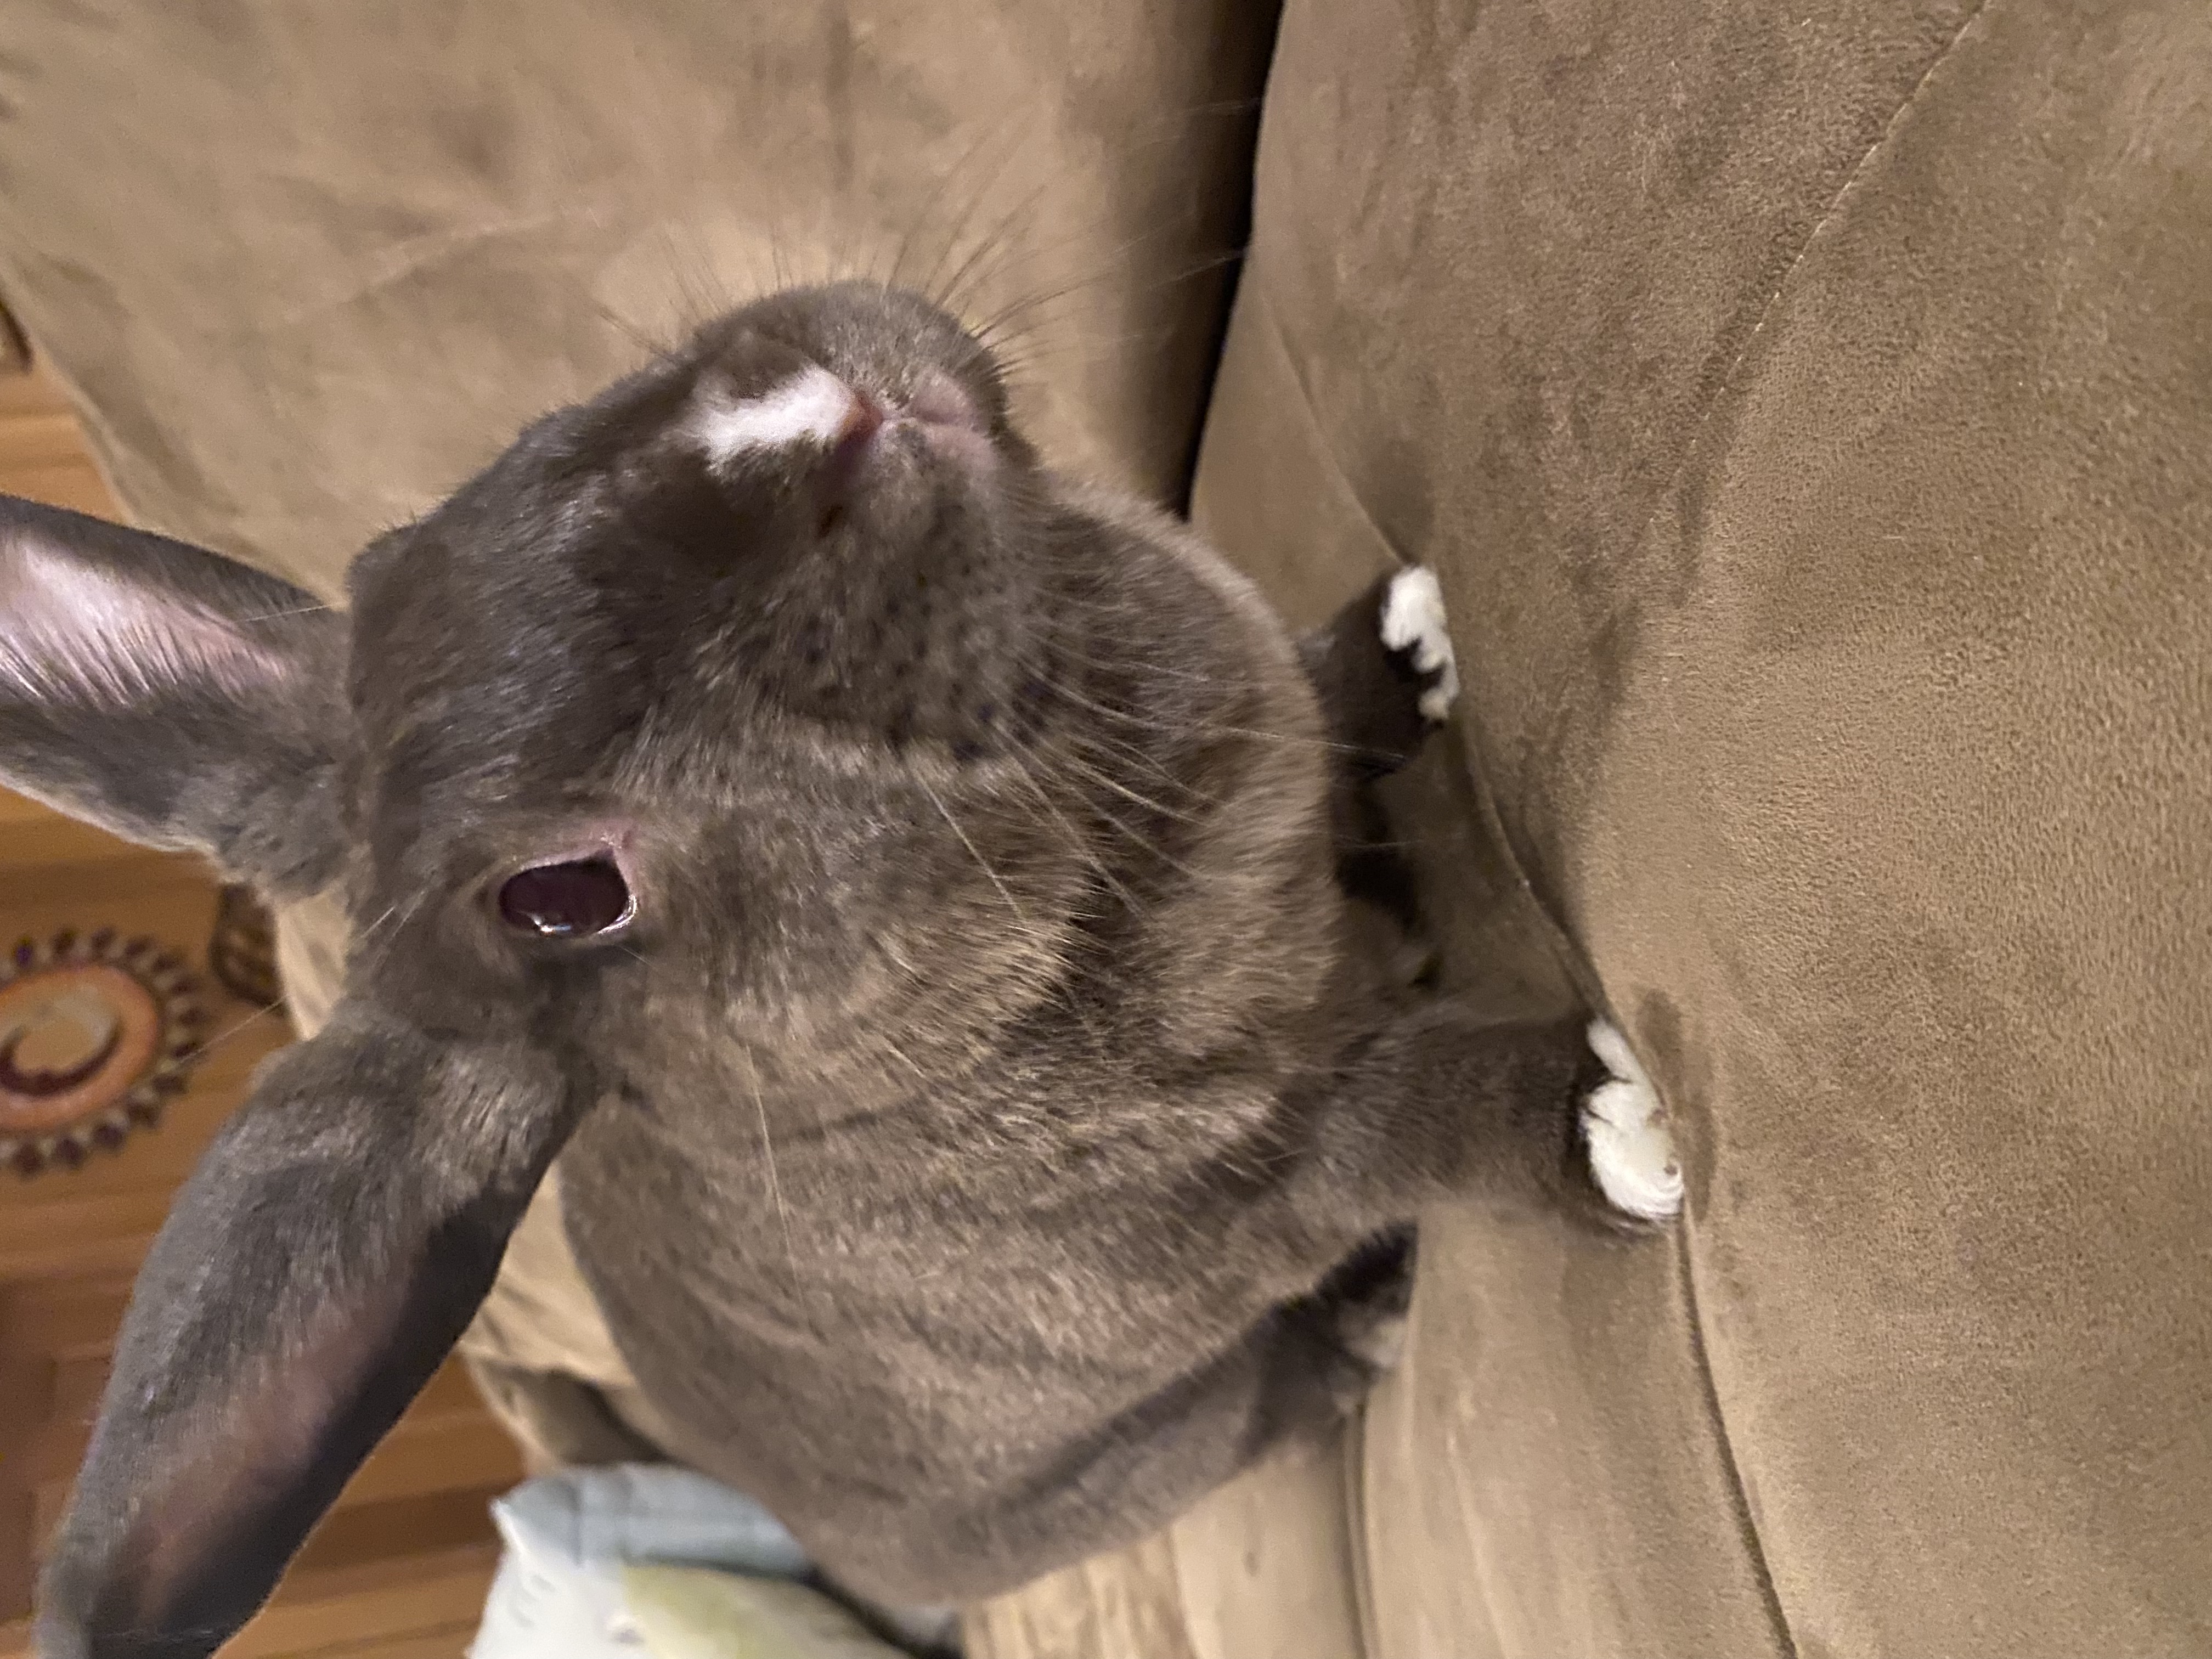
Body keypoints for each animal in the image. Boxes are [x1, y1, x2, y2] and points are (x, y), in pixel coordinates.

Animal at [0, 279, 1680, 1659]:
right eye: (561, 898)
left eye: (397, 552)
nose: (808, 419)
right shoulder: (1263, 1168)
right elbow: (1408, 1113)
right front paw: (1616, 1131)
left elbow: (1330, 715)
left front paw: (1398, 647)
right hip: (1177, 1439)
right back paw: (1376, 1321)